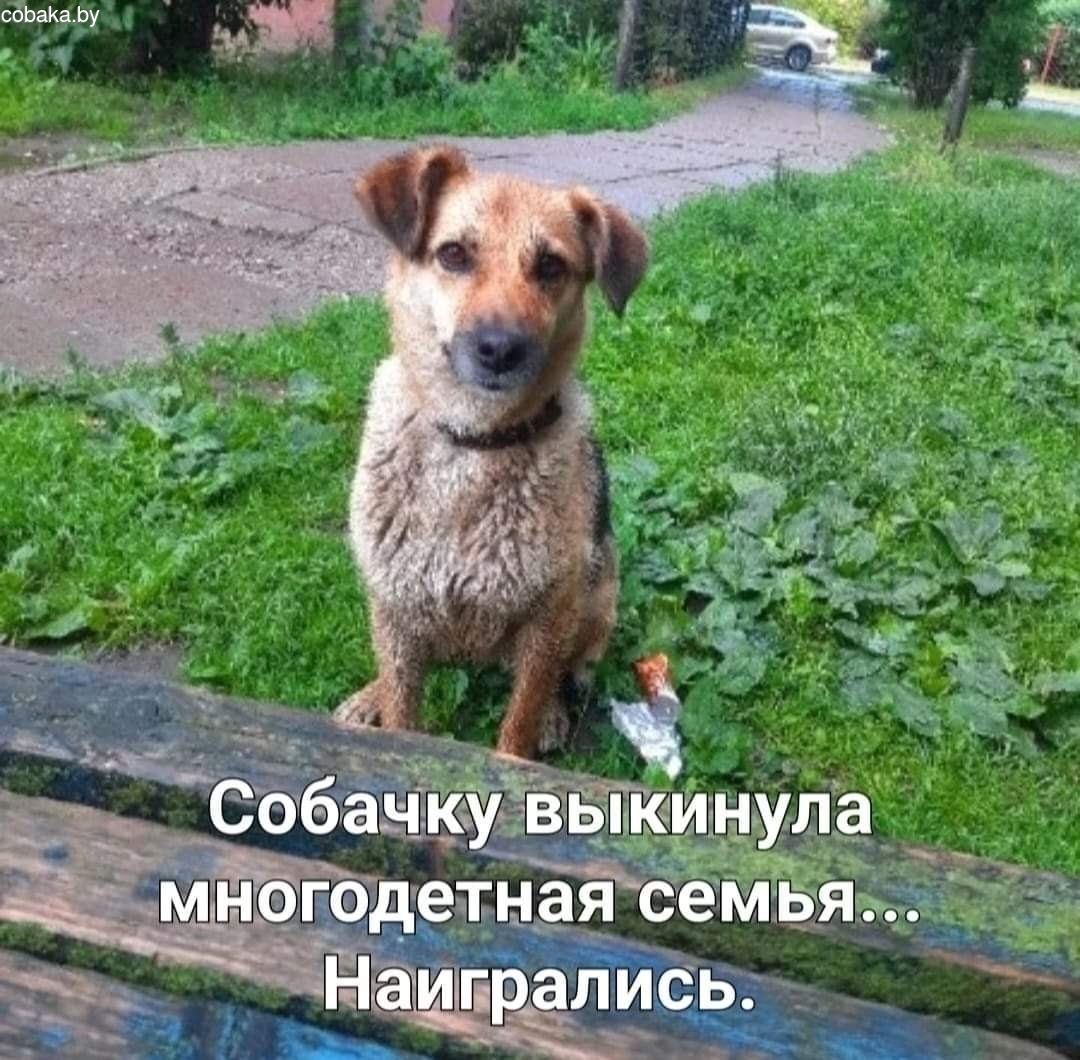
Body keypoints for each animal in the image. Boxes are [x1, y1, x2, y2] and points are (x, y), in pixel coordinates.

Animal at [333, 145, 648, 759]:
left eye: (551, 266)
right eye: (452, 254)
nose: (500, 349)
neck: (471, 443)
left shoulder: (547, 620)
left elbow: (519, 720)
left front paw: (524, 743)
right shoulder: (396, 609)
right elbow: (402, 707)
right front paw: (385, 714)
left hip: (596, 602)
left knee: (569, 671)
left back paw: (556, 712)